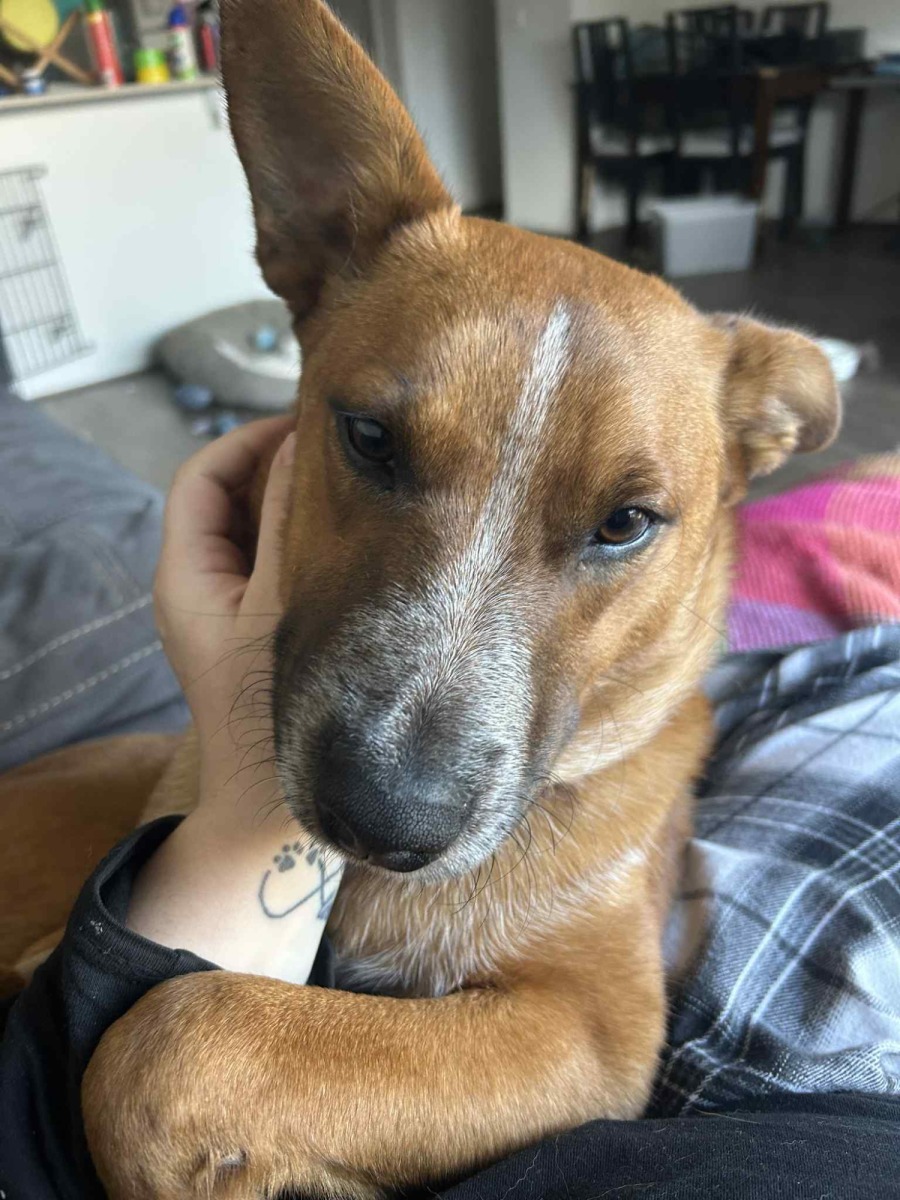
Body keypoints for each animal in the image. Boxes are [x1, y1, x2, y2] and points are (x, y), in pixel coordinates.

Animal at [1, 0, 840, 1195]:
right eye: (367, 438)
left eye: (626, 523)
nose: (384, 819)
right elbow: (180, 1022)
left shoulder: (592, 1026)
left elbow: (182, 1033)